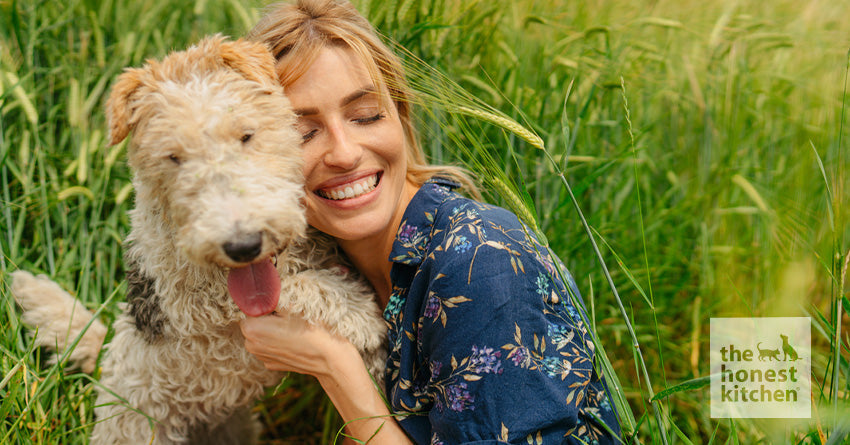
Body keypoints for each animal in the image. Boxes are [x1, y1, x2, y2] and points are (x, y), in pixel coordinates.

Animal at [11, 35, 384, 444]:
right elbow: (286, 288)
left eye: (246, 135)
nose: (243, 246)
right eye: (173, 157)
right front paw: (360, 315)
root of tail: (105, 363)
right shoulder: (191, 296)